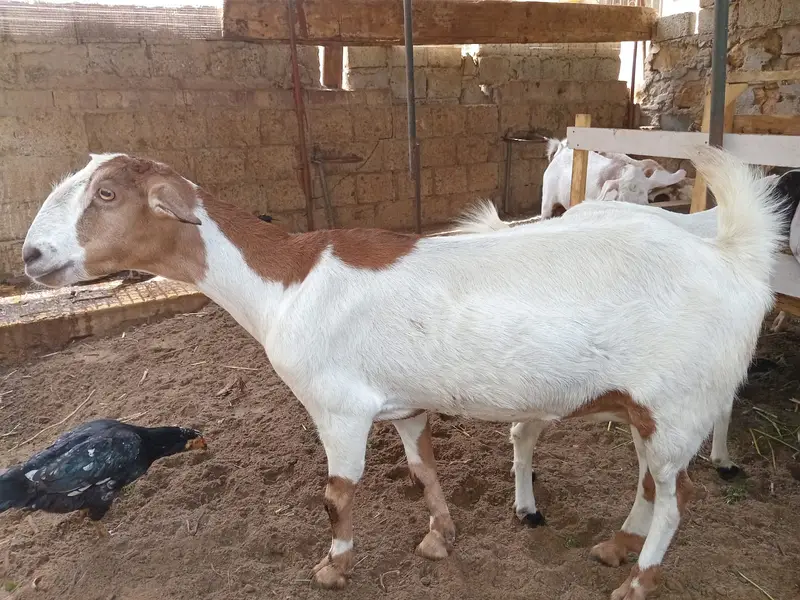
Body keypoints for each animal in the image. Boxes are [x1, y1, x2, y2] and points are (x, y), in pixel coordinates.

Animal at [22, 149, 782, 599]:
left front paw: (334, 565)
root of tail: (733, 260)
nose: (31, 256)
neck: (284, 282)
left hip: (678, 401)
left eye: (108, 194)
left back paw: (640, 579)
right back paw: (617, 546)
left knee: (678, 499)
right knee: (653, 481)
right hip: (651, 406)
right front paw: (440, 537)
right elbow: (423, 471)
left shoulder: (337, 407)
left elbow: (337, 493)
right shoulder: (403, 406)